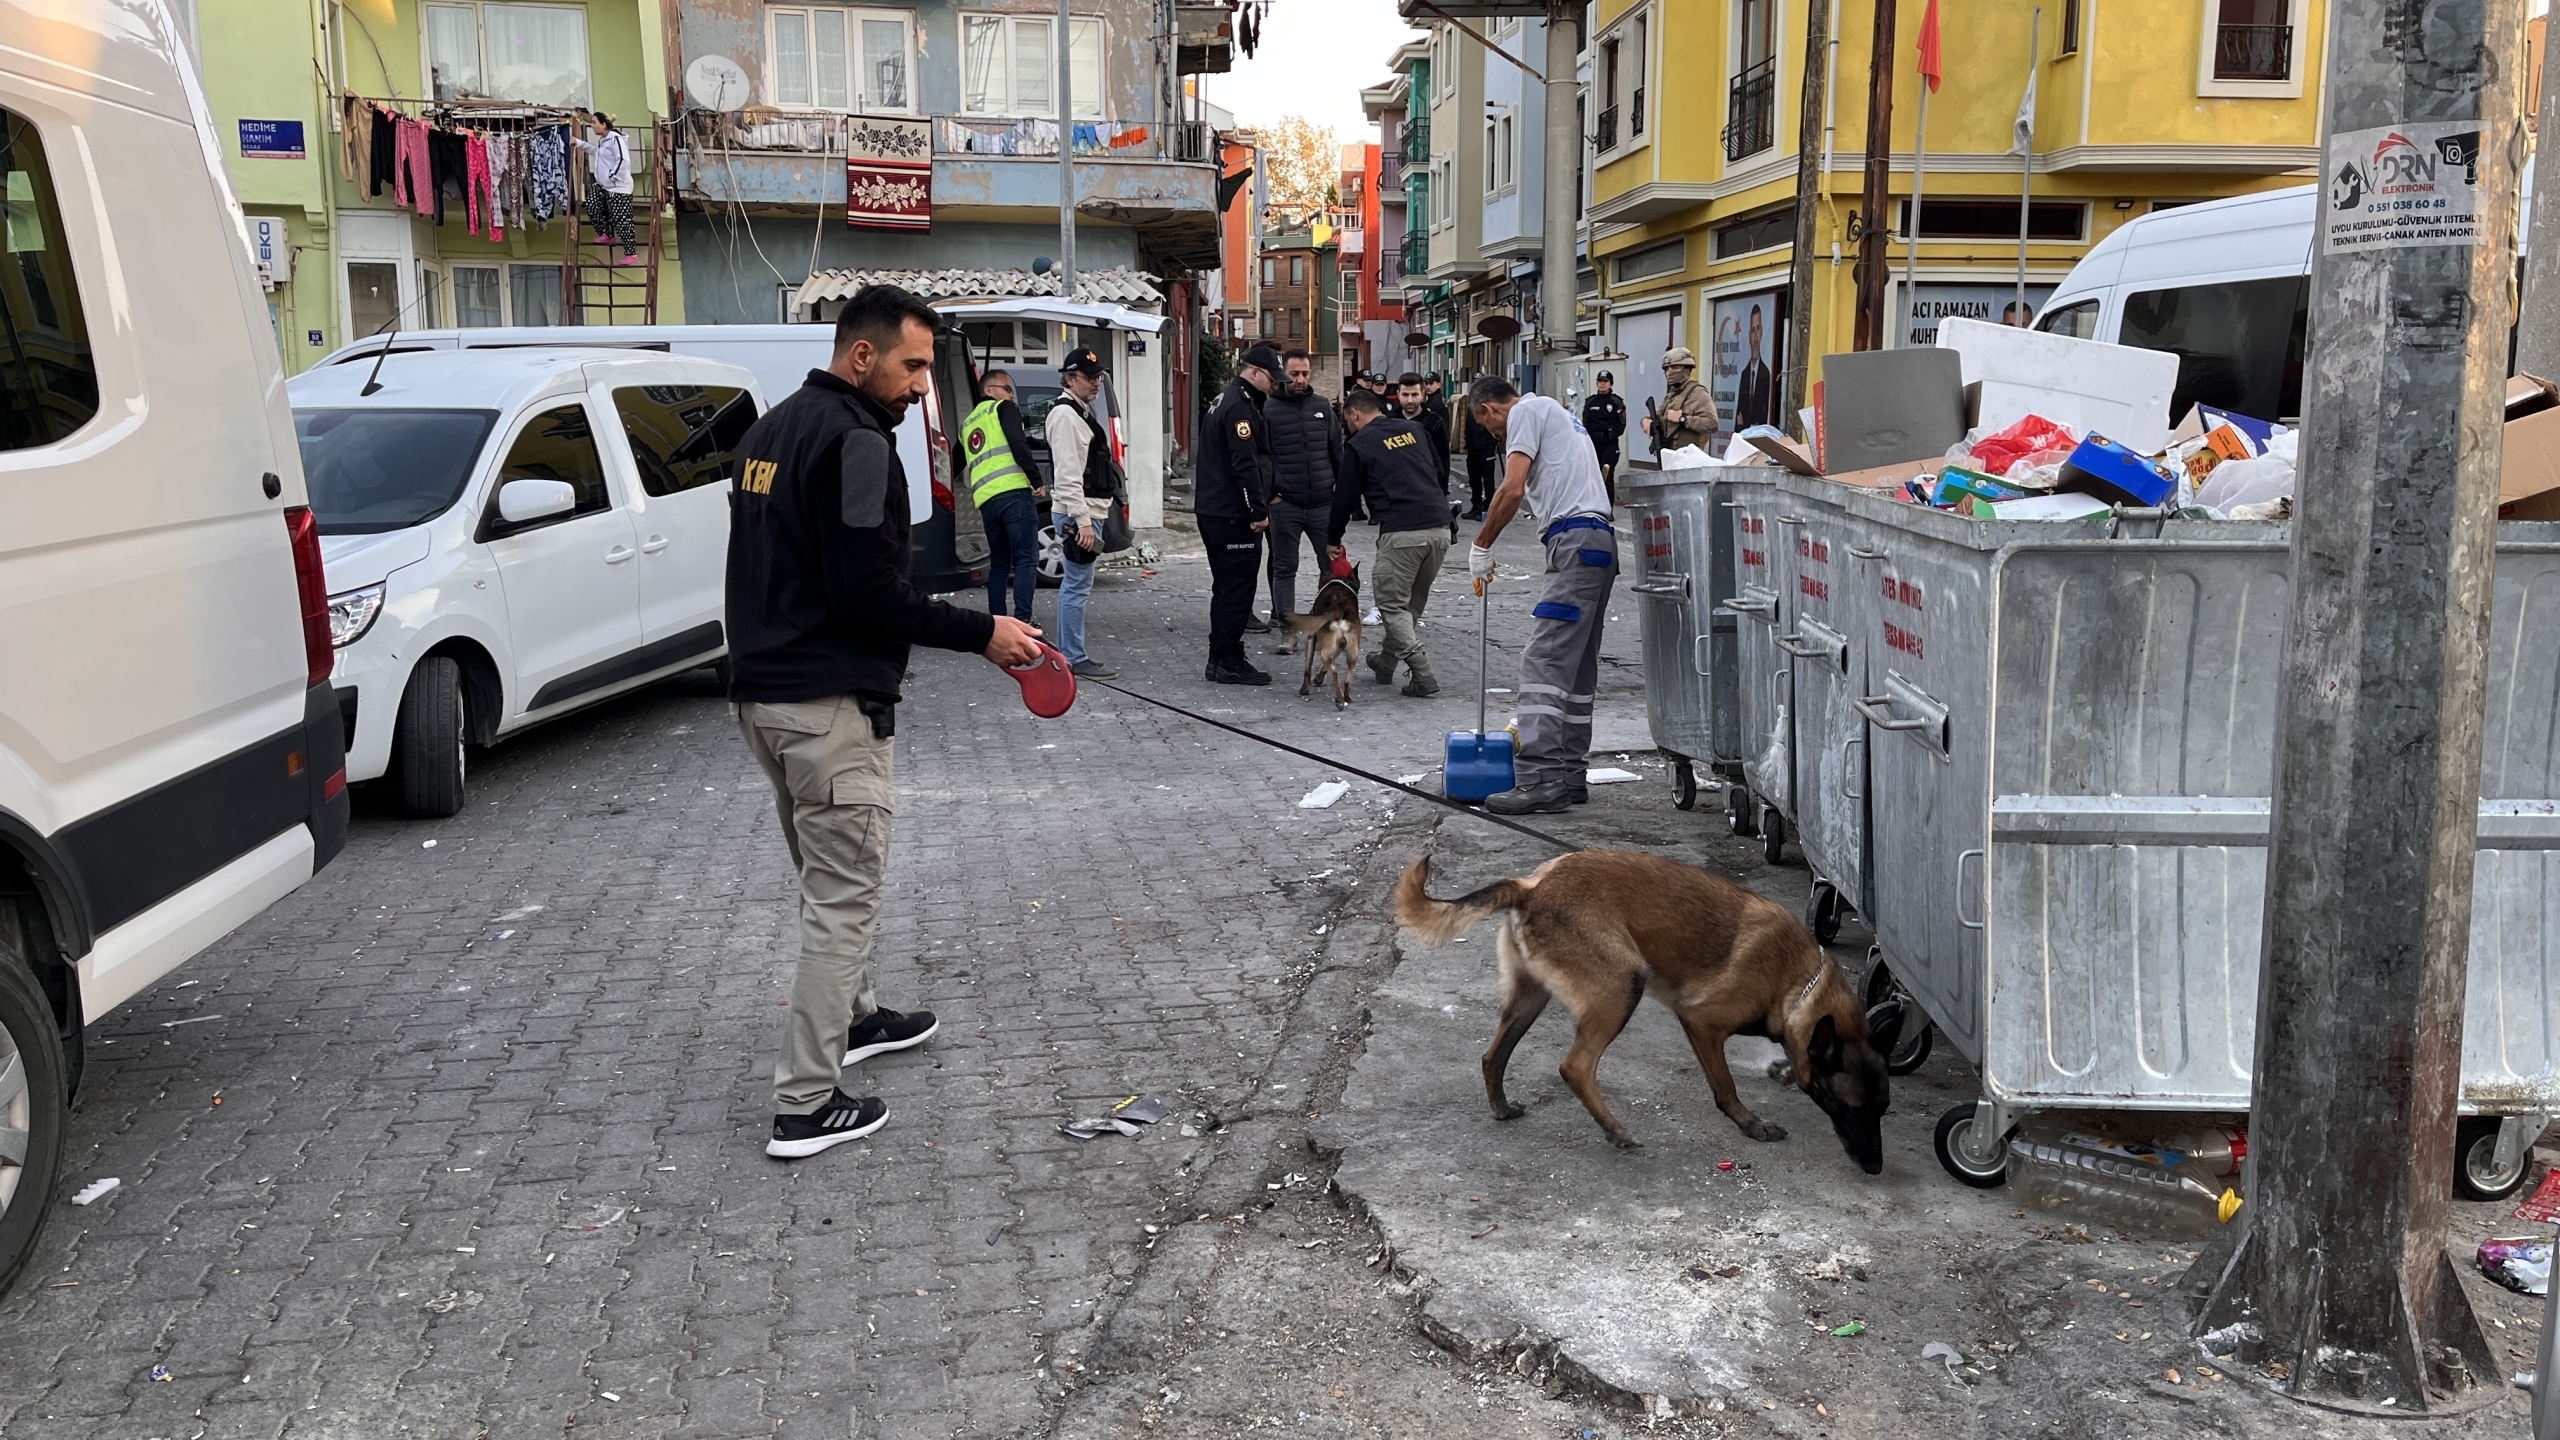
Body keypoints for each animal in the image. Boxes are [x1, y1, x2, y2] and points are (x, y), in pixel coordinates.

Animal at [1402, 840, 1904, 1168]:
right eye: (1849, 1108)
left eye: (1881, 1110)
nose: (1876, 1167)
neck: (1798, 981)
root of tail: (1532, 886)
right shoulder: (1701, 1023)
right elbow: (1725, 1086)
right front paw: (1750, 1123)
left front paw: (1781, 1071)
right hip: (1624, 987)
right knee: (1574, 1067)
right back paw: (1615, 1130)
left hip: (1530, 999)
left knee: (1493, 1056)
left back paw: (1502, 1108)